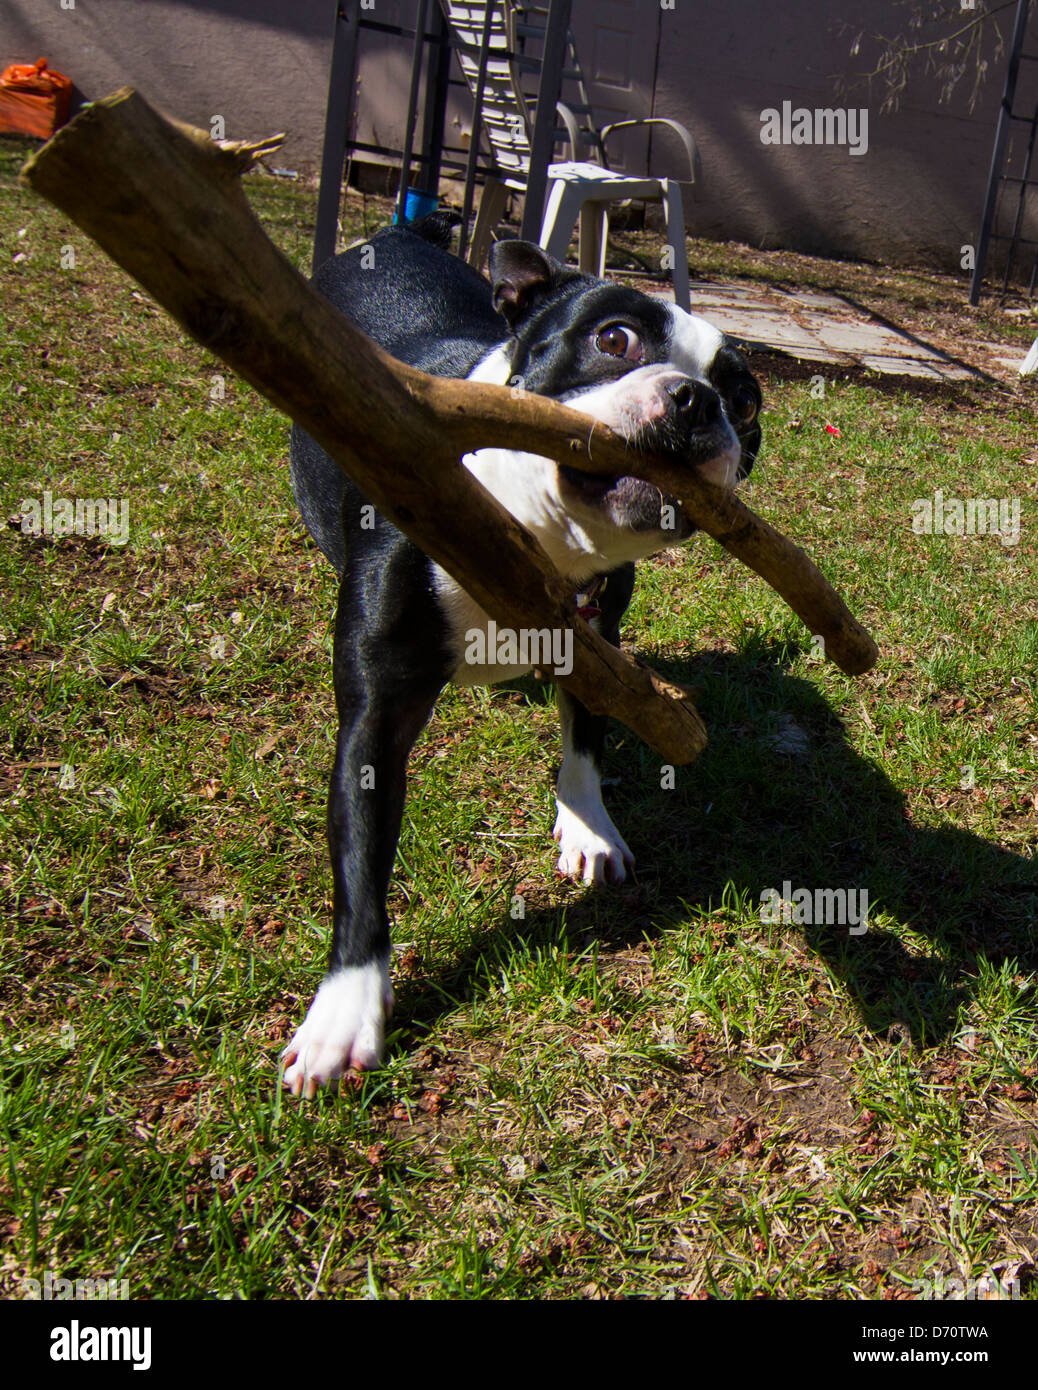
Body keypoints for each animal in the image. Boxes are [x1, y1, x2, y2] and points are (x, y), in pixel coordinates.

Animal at [280, 219, 761, 1095]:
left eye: (744, 401)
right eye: (615, 338)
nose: (697, 399)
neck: (529, 532)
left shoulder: (598, 641)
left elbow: (585, 738)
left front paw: (587, 826)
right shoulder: (376, 718)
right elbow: (361, 862)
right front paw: (344, 1009)